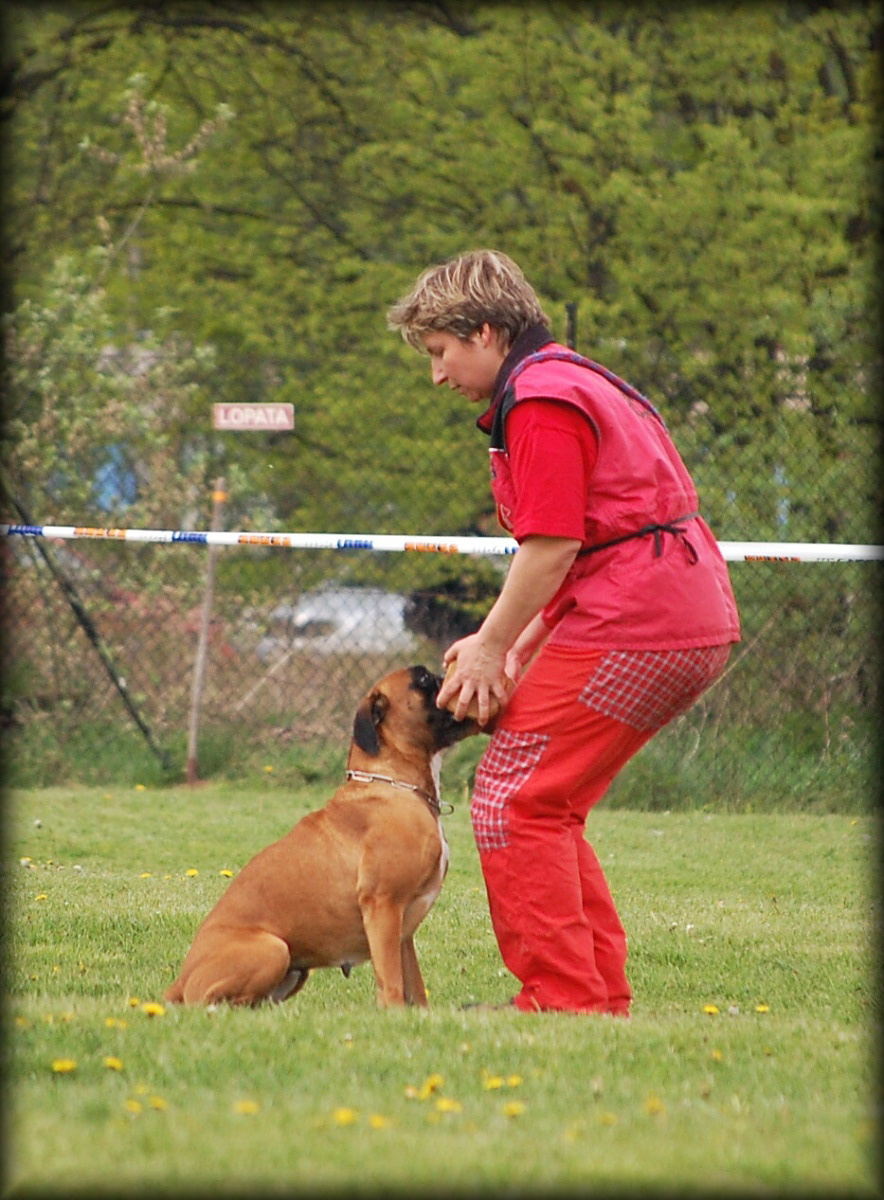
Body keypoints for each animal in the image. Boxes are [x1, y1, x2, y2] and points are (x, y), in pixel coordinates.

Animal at [164, 667, 474, 1012]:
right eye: (422, 680)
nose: (446, 673)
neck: (395, 785)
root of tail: (180, 981)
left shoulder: (403, 931)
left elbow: (414, 986)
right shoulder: (383, 906)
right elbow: (391, 982)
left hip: (294, 970)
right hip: (273, 948)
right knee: (213, 1002)